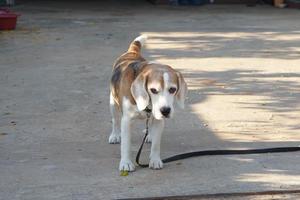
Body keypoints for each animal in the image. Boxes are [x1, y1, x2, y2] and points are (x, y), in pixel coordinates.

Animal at [108, 35, 188, 171]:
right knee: (115, 121)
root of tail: (131, 52)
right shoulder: (126, 121)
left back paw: (149, 135)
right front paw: (126, 163)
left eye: (172, 89)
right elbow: (126, 145)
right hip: (113, 104)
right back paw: (115, 135)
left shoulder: (159, 120)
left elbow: (156, 144)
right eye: (153, 90)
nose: (165, 111)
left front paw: (155, 160)